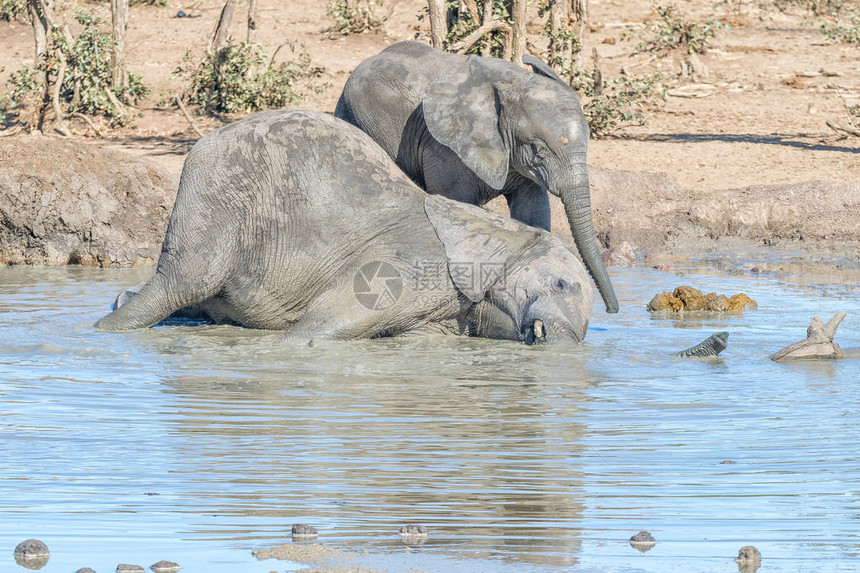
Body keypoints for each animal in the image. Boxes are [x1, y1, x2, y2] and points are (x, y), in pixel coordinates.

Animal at [94, 109, 592, 342]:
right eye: (562, 284)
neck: (500, 235)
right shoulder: (401, 267)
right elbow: (312, 332)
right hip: (212, 197)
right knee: (181, 283)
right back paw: (104, 329)